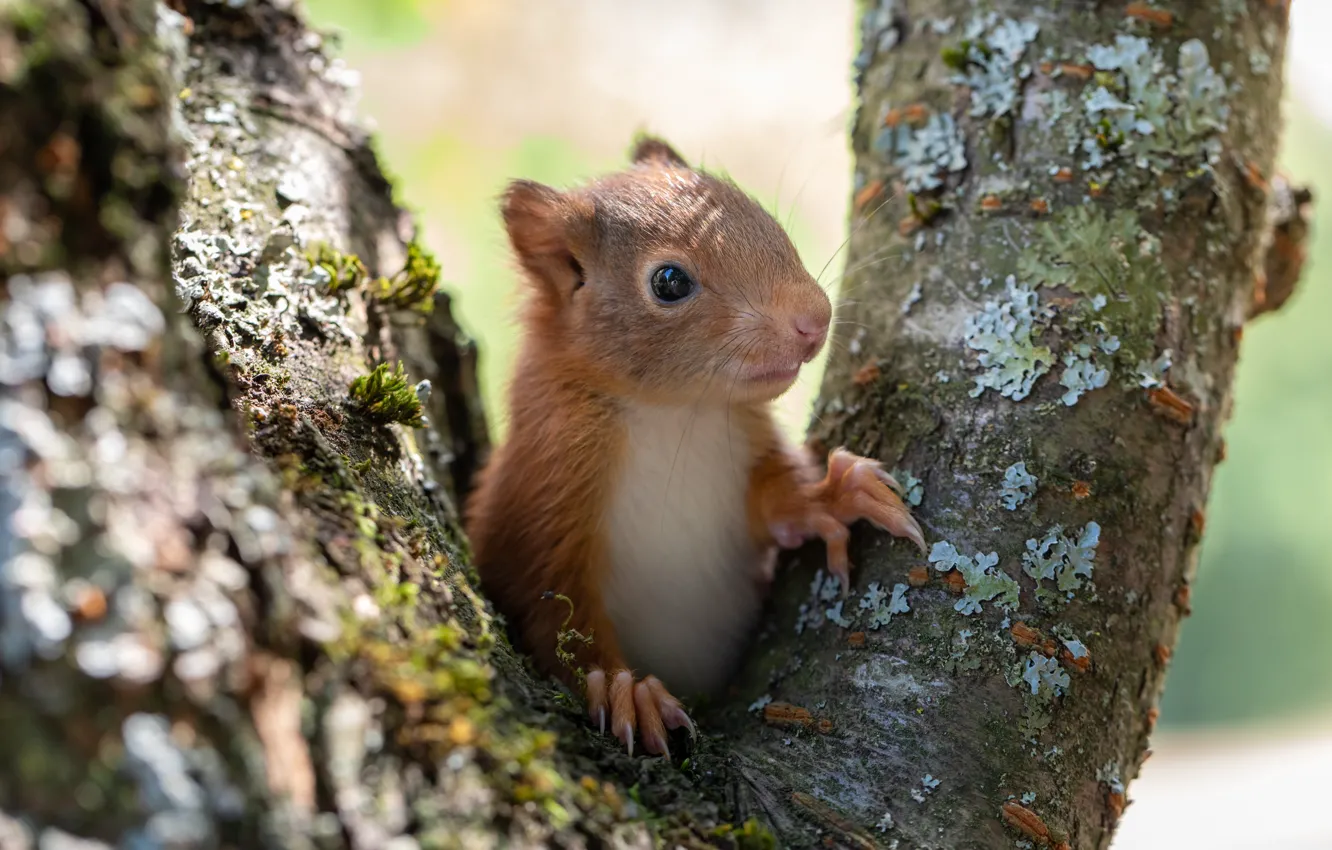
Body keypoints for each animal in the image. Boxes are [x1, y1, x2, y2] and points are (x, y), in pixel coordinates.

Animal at [464, 136, 927, 757]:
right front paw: (623, 689)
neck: (677, 413)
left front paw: (832, 496)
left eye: (767, 220)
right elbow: (552, 608)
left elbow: (777, 508)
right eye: (669, 282)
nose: (815, 319)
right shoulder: (543, 491)